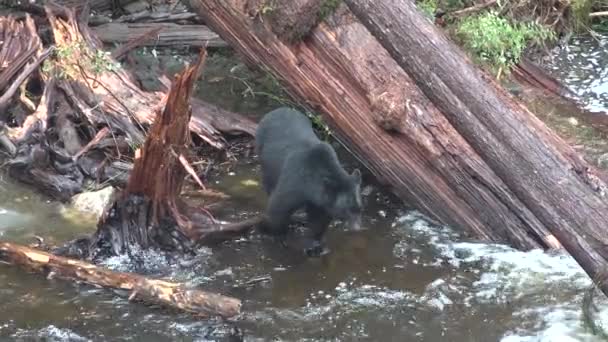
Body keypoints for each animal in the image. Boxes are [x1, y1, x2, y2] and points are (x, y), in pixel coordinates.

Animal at [255, 107, 364, 256]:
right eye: (347, 210)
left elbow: (319, 220)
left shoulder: (321, 202)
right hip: (265, 156)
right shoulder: (296, 178)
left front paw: (317, 244)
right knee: (269, 182)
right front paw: (275, 234)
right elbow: (279, 206)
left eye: (360, 208)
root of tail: (277, 110)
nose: (357, 229)